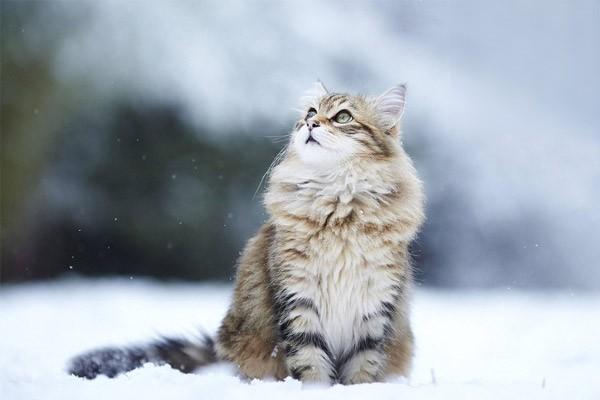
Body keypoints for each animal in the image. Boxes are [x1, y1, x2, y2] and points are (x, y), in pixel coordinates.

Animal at [68, 81, 424, 384]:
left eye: (343, 117)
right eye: (311, 112)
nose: (311, 124)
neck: (338, 207)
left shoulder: (376, 306)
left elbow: (363, 368)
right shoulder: (297, 299)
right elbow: (310, 364)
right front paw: (316, 390)